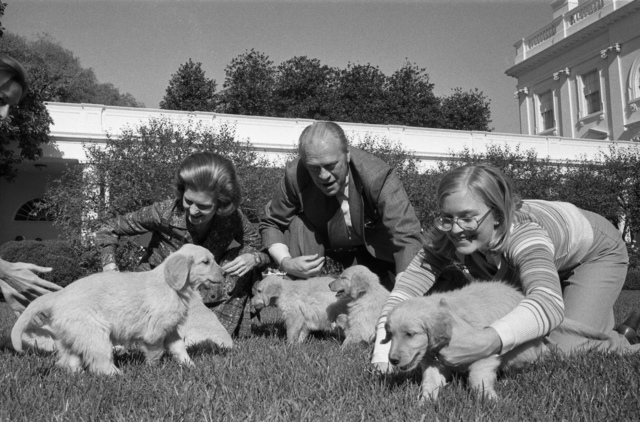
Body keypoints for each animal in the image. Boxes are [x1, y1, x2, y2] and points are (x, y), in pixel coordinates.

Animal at [9, 244, 225, 376]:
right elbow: (156, 352)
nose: (224, 273)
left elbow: (179, 348)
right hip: (95, 332)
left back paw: (78, 375)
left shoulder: (169, 328)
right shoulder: (154, 332)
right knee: (100, 361)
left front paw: (190, 365)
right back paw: (118, 375)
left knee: (70, 359)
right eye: (206, 262)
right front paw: (154, 370)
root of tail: (59, 296)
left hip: (73, 334)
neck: (170, 285)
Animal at [380, 282, 608, 400]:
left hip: (521, 352)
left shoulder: (483, 351)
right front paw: (424, 403)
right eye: (390, 334)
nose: (393, 360)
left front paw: (489, 399)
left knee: (536, 354)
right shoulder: (433, 362)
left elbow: (477, 378)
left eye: (410, 334)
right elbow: (430, 381)